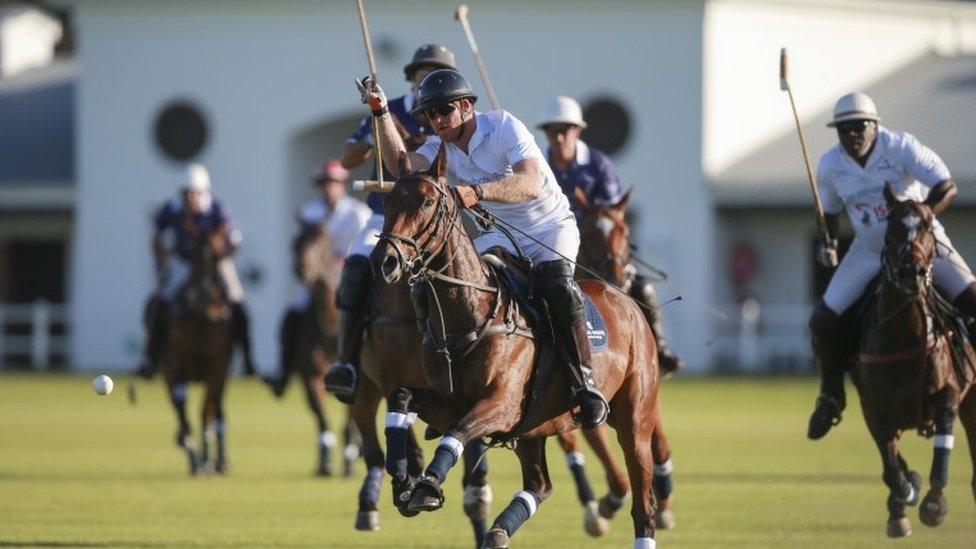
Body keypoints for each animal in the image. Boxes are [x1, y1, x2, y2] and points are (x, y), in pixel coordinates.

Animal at [163, 229, 235, 474]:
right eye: (193, 253)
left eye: (217, 256)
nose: (202, 294)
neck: (201, 315)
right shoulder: (175, 363)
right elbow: (182, 410)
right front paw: (193, 454)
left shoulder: (218, 365)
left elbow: (206, 410)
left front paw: (206, 461)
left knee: (215, 409)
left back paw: (218, 461)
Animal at [292, 223, 364, 476]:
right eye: (295, 243)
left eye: (321, 242)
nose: (301, 268)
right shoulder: (310, 375)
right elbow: (321, 416)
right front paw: (325, 463)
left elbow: (349, 422)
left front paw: (349, 462)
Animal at [576, 185, 676, 532]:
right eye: (588, 232)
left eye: (626, 230)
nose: (617, 275)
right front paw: (608, 504)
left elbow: (656, 445)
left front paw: (660, 500)